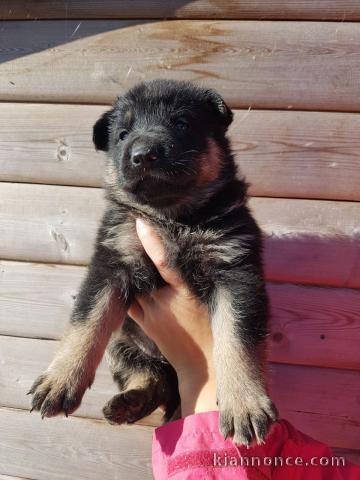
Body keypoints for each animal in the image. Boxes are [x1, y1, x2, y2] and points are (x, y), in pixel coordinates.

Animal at [30, 79, 278, 446]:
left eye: (181, 123)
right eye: (122, 134)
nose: (143, 154)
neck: (171, 217)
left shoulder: (234, 270)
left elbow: (236, 338)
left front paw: (244, 402)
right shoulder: (112, 261)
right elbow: (86, 322)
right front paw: (60, 378)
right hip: (121, 341)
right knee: (150, 377)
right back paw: (128, 402)